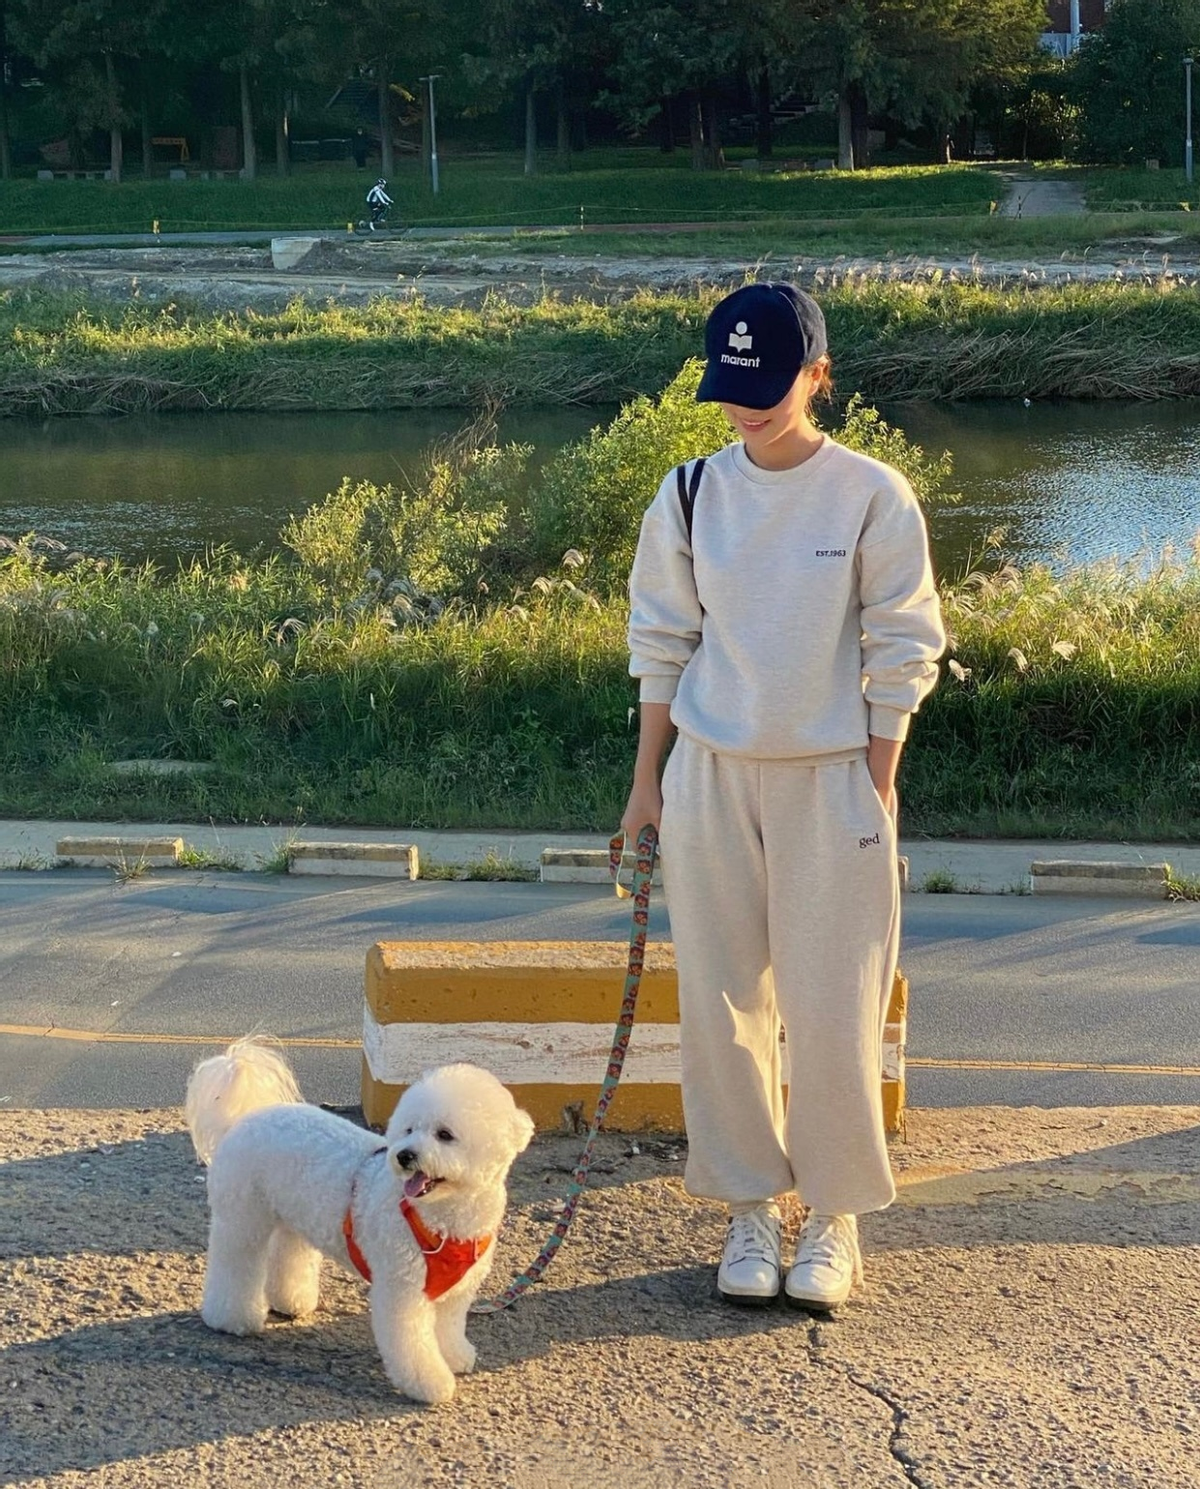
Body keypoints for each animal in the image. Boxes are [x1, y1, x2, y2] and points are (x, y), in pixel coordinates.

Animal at [184, 1039, 534, 1403]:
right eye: (409, 1129)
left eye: (445, 1134)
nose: (404, 1155)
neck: (443, 1217)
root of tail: (245, 1119)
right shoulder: (402, 1288)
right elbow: (413, 1345)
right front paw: (430, 1383)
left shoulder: (455, 1292)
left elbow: (449, 1328)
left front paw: (454, 1356)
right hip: (243, 1218)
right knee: (236, 1264)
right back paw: (230, 1318)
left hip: (294, 1214)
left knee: (289, 1253)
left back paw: (290, 1301)